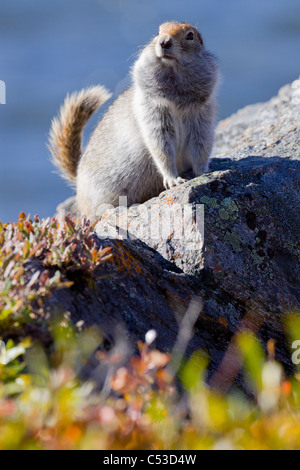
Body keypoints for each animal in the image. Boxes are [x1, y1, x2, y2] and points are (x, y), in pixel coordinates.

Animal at [48, 22, 218, 220]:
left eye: (190, 35)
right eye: (157, 32)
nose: (164, 42)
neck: (175, 79)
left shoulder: (202, 117)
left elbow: (201, 146)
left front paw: (202, 171)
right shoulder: (153, 116)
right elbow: (162, 150)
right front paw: (174, 179)